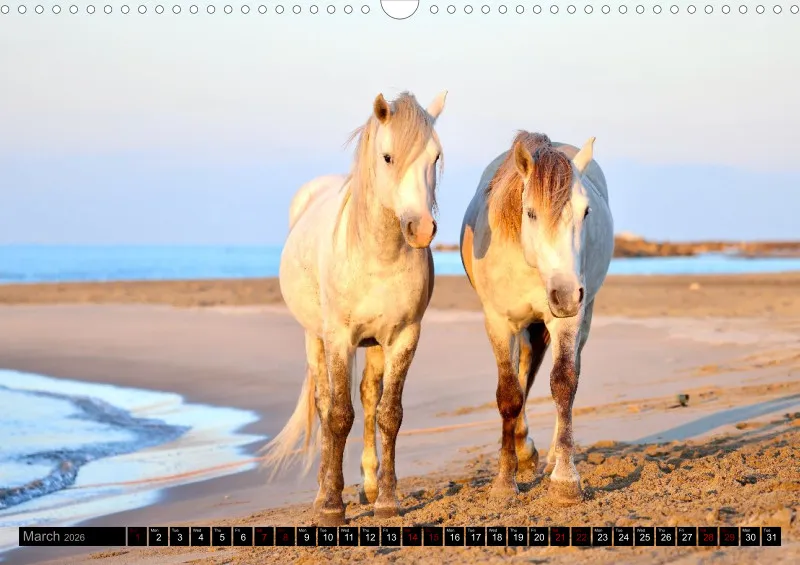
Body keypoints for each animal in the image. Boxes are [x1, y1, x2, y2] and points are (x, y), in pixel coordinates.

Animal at [261, 90, 448, 525]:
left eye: (435, 157)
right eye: (387, 157)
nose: (421, 229)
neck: (378, 254)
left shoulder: (403, 337)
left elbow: (388, 414)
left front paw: (388, 501)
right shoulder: (340, 339)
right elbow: (337, 415)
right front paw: (332, 505)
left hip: (375, 344)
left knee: (368, 397)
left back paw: (370, 485)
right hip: (315, 338)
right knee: (323, 402)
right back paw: (321, 492)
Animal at [459, 131, 614, 504]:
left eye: (586, 211)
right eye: (530, 213)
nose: (566, 293)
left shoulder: (566, 320)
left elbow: (563, 384)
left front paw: (565, 479)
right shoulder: (499, 323)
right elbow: (509, 394)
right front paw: (504, 482)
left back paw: (549, 457)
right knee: (522, 374)